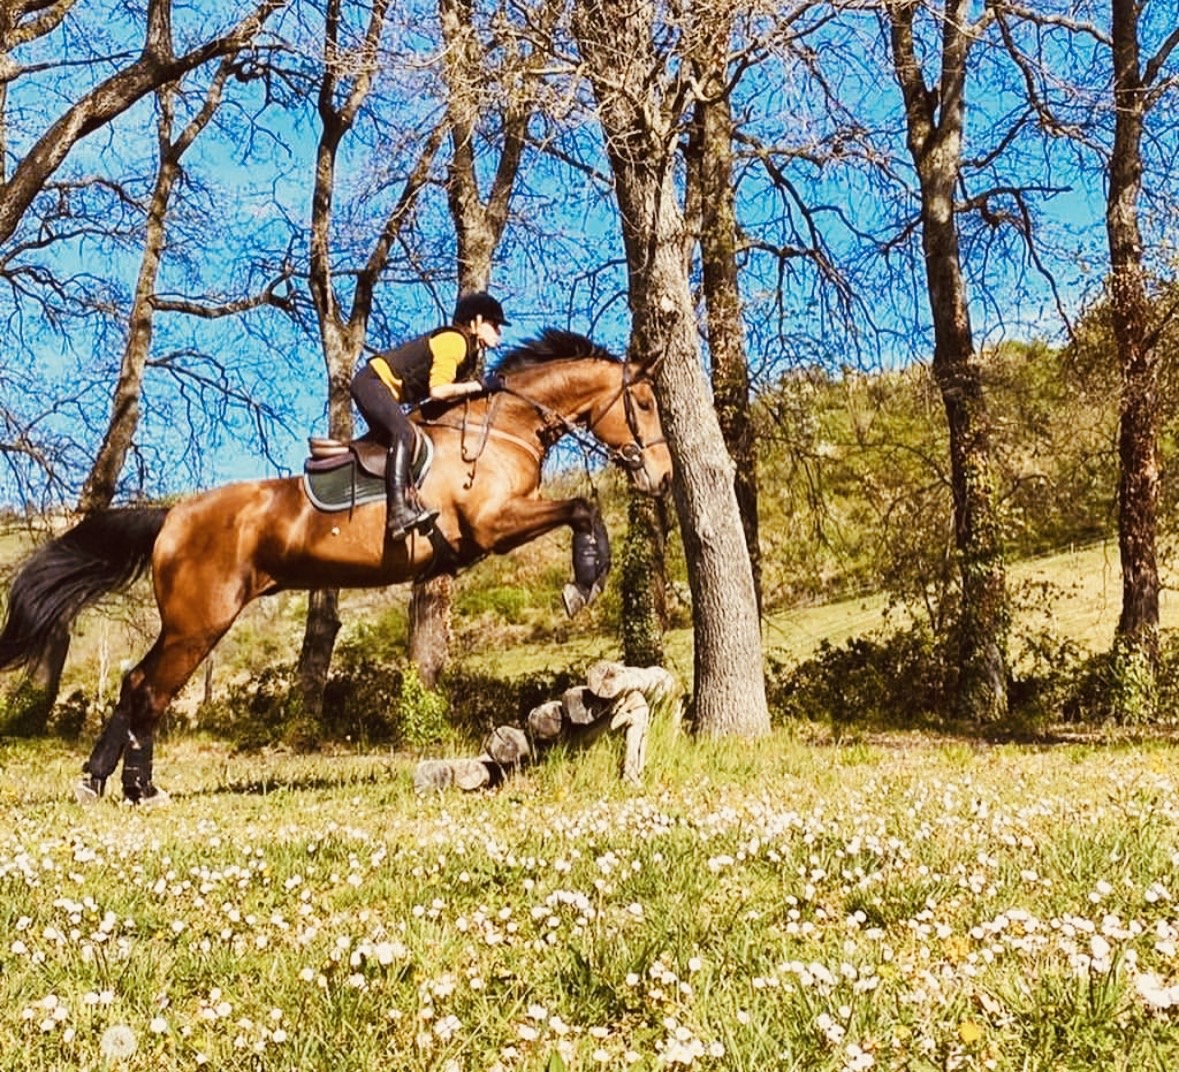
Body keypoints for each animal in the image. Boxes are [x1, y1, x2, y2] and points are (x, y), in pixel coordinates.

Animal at [0, 329, 672, 804]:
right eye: (642, 402)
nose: (663, 477)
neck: (504, 426)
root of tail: (172, 517)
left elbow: (580, 507)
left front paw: (589, 576)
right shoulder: (492, 523)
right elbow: (582, 506)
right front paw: (585, 579)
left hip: (189, 623)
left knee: (137, 683)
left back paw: (101, 782)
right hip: (201, 622)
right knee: (150, 689)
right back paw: (137, 787)